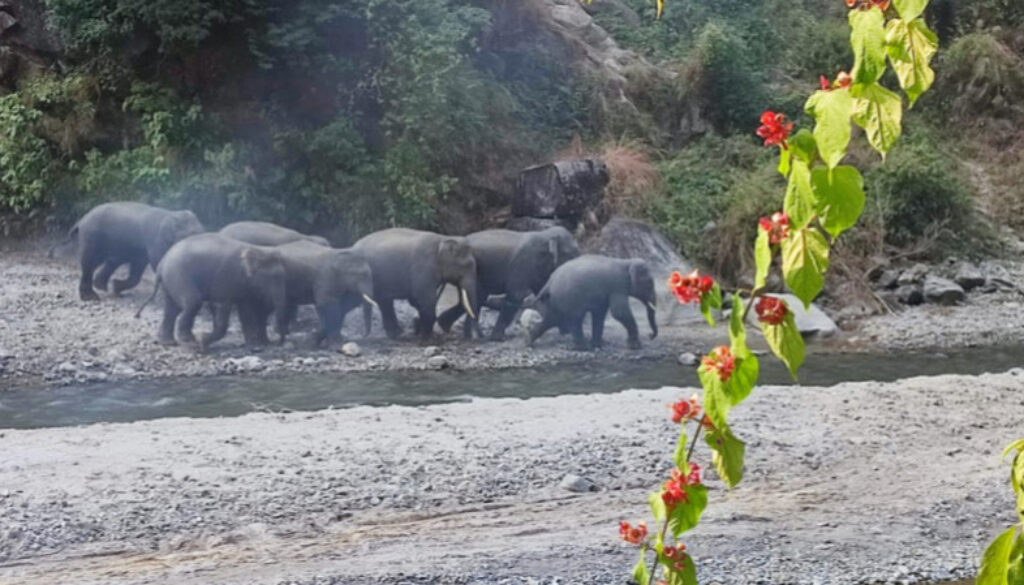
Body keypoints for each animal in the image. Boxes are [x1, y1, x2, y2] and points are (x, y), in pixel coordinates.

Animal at [60, 202, 204, 301]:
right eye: (188, 236)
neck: (171, 214)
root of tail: (81, 220)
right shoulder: (155, 240)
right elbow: (156, 262)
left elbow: (138, 265)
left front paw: (116, 287)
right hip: (91, 237)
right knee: (89, 264)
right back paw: (91, 297)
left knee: (113, 260)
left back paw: (104, 287)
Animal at [136, 234, 288, 351]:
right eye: (275, 277)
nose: (278, 342)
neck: (256, 249)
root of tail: (162, 263)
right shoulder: (227, 278)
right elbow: (221, 306)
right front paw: (202, 340)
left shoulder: (243, 285)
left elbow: (245, 311)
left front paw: (253, 346)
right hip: (178, 275)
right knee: (192, 302)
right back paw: (189, 342)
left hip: (170, 281)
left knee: (172, 310)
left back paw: (168, 342)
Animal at [436, 227, 580, 340]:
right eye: (572, 254)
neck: (545, 234)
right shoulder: (523, 263)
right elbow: (516, 295)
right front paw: (498, 338)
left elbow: (542, 293)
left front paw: (565, 330)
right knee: (476, 298)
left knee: (475, 300)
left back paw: (455, 329)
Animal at [525, 255, 658, 350]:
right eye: (650, 284)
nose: (650, 335)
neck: (626, 262)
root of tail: (549, 282)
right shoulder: (618, 286)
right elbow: (619, 312)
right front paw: (635, 347)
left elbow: (600, 314)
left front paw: (598, 345)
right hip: (568, 299)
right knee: (574, 319)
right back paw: (583, 348)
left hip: (554, 300)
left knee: (551, 319)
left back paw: (529, 342)